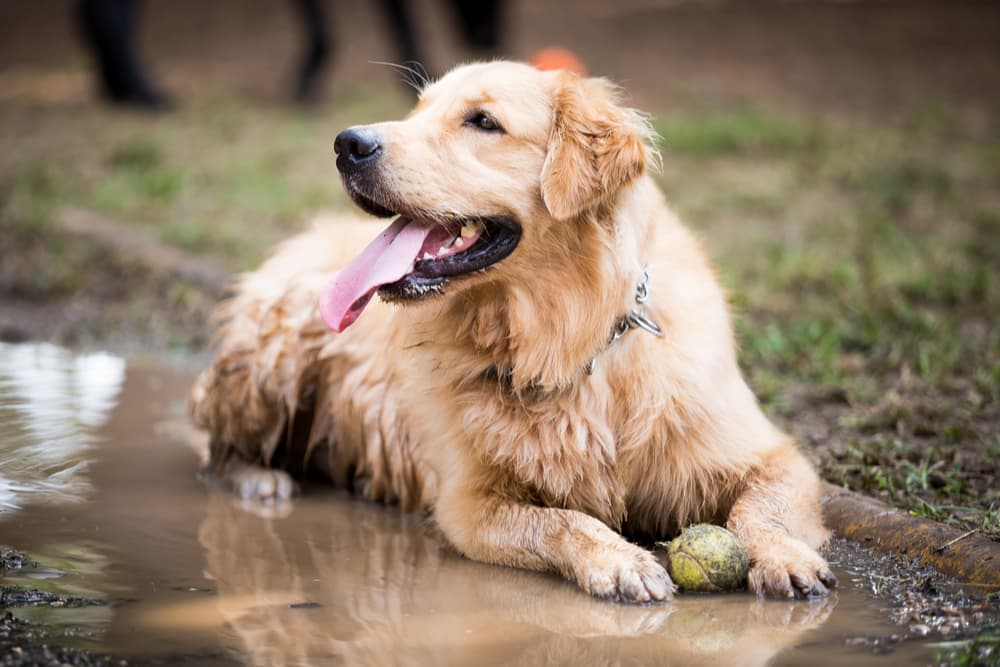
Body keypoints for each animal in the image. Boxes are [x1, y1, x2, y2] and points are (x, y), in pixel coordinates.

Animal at [189, 61, 836, 604]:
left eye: (483, 122)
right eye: (418, 109)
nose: (347, 144)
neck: (567, 341)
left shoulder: (769, 454)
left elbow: (764, 508)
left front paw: (784, 557)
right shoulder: (469, 504)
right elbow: (561, 520)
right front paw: (619, 559)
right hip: (275, 347)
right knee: (214, 446)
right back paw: (261, 479)